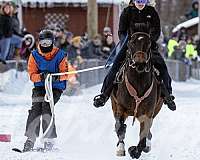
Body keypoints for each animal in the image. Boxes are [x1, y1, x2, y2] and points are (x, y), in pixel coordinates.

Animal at [111, 31, 164, 159]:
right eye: (131, 43)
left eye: (149, 43)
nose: (140, 63)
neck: (138, 82)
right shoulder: (120, 108)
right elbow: (119, 127)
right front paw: (121, 148)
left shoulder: (148, 113)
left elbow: (143, 137)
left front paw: (134, 150)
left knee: (148, 132)